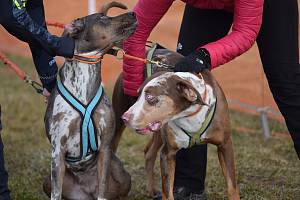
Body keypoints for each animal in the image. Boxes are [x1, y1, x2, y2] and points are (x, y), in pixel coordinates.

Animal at [120, 54, 240, 199]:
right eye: (138, 96)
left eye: (150, 97)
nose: (125, 117)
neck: (190, 113)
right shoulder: (167, 153)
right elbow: (168, 192)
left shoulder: (225, 145)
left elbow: (232, 187)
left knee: (149, 152)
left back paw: (151, 190)